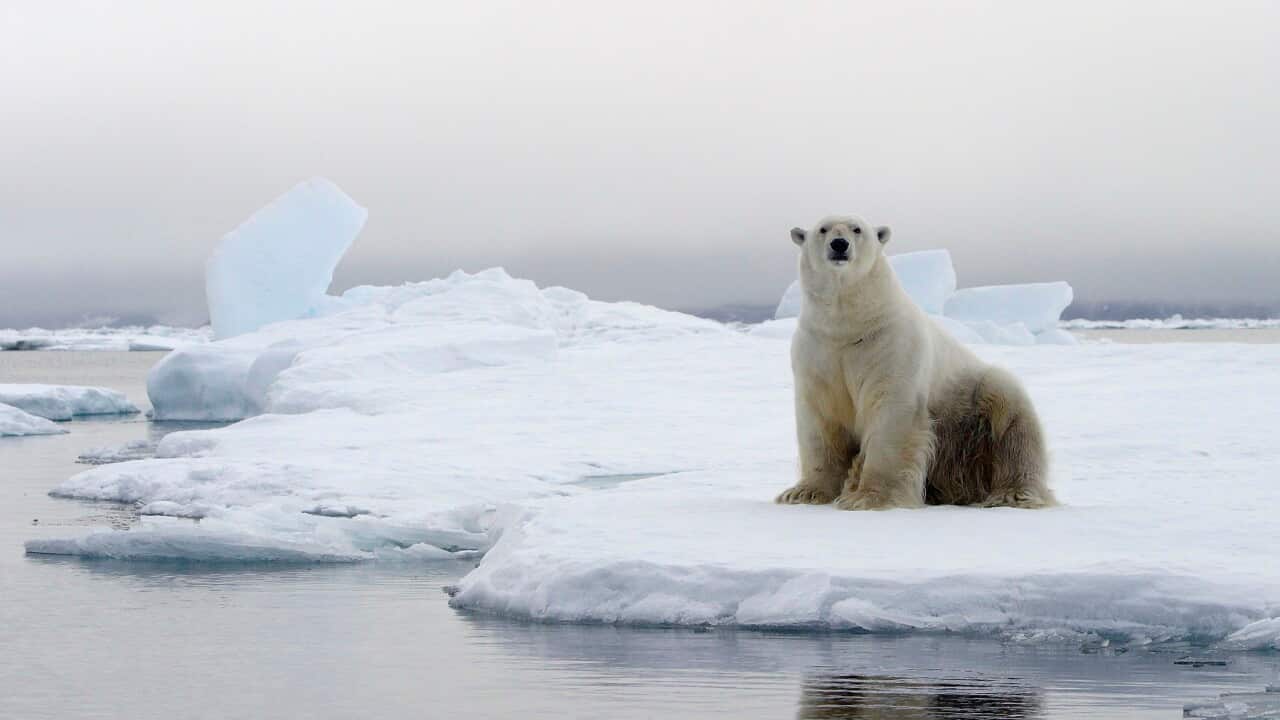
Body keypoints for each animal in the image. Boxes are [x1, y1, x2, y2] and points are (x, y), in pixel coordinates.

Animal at [774, 215, 1055, 510]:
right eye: (823, 229)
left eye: (857, 229)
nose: (839, 244)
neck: (850, 325)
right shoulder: (819, 353)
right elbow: (820, 420)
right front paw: (803, 493)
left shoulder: (890, 347)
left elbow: (890, 413)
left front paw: (868, 497)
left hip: (972, 403)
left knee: (1013, 425)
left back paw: (1012, 493)